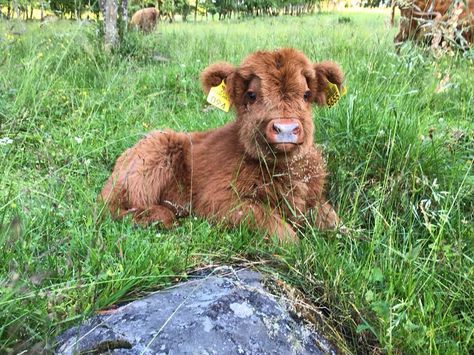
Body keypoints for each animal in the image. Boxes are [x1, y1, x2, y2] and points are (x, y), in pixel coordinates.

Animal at [101, 48, 344, 243]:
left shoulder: (314, 197)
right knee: (113, 208)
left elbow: (334, 221)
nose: (285, 128)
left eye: (306, 94)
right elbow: (277, 229)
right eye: (252, 95)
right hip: (152, 156)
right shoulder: (218, 201)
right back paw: (162, 217)